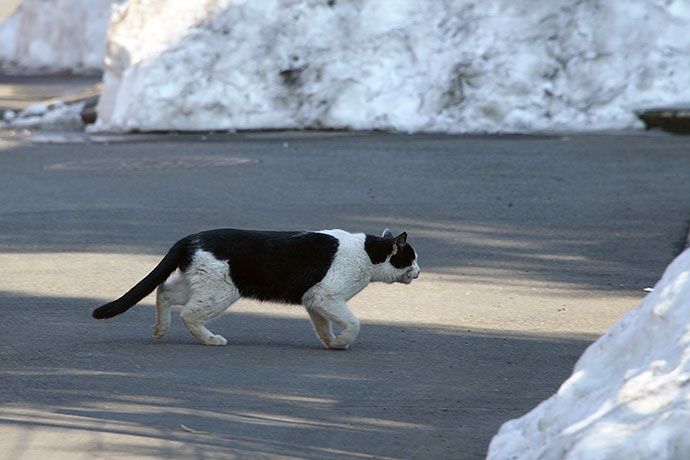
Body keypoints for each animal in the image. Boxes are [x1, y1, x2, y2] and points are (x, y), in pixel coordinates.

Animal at [92, 226, 420, 348]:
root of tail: (188, 239)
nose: (419, 272)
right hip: (221, 291)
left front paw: (331, 343)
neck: (368, 253)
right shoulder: (325, 295)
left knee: (163, 292)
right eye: (411, 259)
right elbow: (353, 323)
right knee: (188, 314)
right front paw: (342, 341)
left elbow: (323, 327)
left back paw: (161, 330)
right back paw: (211, 340)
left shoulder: (315, 301)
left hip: (199, 283)